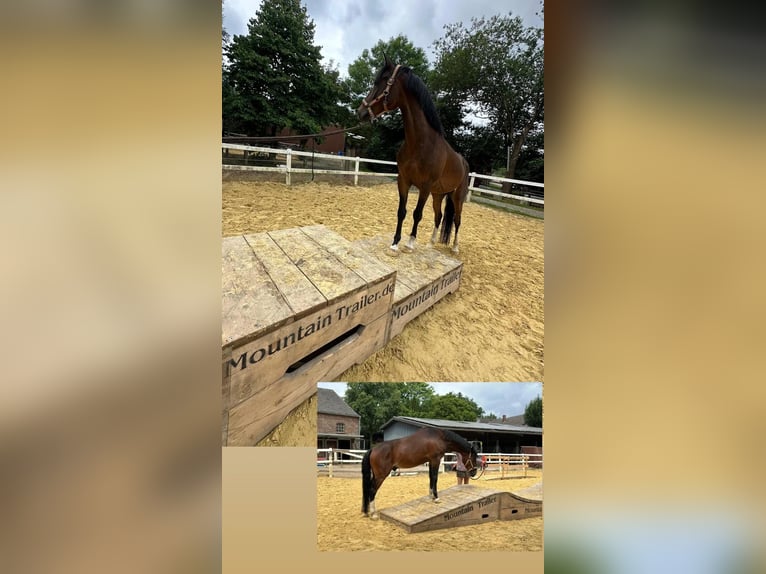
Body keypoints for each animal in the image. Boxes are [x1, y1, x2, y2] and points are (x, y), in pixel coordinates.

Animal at [357, 56, 470, 254]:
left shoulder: (424, 186)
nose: (360, 112)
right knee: (439, 216)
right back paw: (431, 243)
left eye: (382, 81)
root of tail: (464, 163)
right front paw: (395, 242)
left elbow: (417, 213)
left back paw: (455, 247)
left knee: (457, 220)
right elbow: (401, 211)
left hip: (457, 197)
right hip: (438, 194)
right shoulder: (403, 180)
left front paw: (410, 242)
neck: (421, 144)